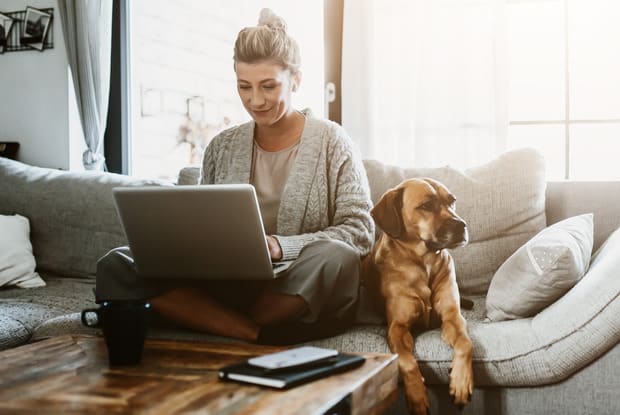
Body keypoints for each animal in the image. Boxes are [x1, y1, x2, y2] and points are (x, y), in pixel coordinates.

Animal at [360, 178, 472, 415]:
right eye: (426, 205)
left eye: (452, 201)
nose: (461, 226)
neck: (424, 262)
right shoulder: (398, 327)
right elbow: (406, 361)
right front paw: (417, 396)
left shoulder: (452, 317)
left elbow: (466, 344)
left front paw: (460, 382)